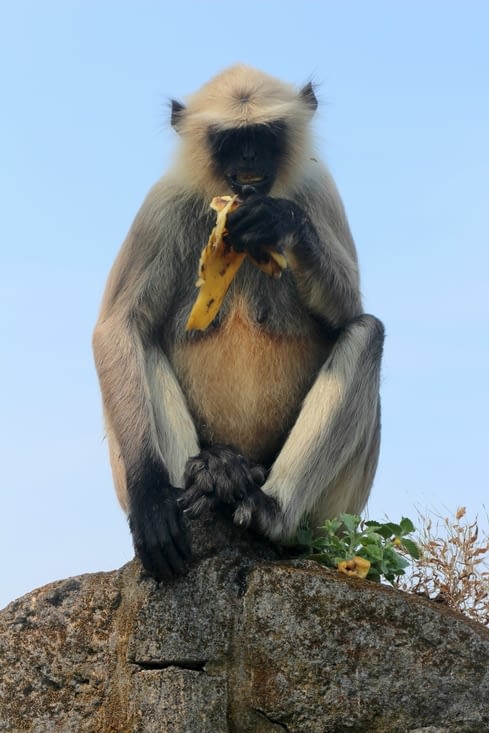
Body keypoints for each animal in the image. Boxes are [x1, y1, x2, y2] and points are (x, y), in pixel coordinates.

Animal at [93, 64, 384, 581]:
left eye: (263, 136)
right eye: (231, 140)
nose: (248, 157)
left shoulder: (318, 189)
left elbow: (347, 314)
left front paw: (280, 220)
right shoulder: (163, 203)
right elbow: (118, 328)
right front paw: (152, 498)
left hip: (333, 516)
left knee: (367, 331)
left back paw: (269, 511)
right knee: (141, 342)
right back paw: (206, 479)